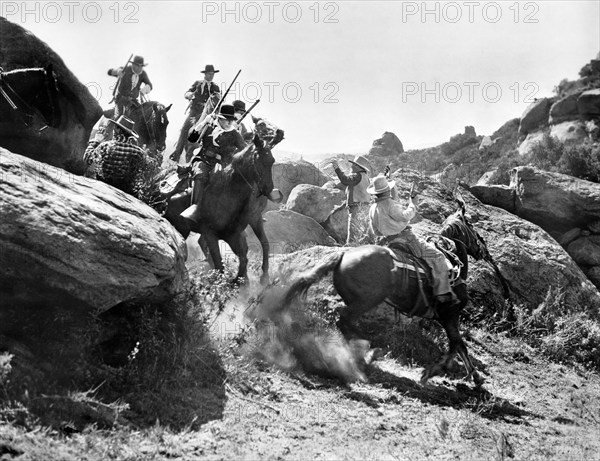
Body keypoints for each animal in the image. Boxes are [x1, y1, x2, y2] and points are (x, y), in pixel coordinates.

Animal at [284, 194, 500, 384]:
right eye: (471, 226)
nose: (485, 252)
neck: (451, 262)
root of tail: (343, 255)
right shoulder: (450, 314)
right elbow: (458, 345)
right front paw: (440, 371)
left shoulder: (445, 317)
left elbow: (458, 346)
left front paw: (472, 376)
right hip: (366, 301)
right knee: (343, 320)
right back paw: (368, 353)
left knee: (344, 323)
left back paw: (364, 354)